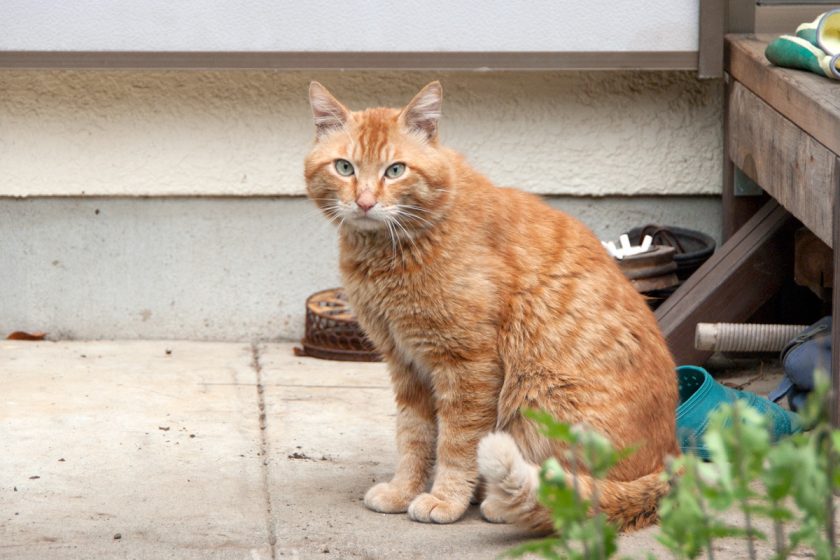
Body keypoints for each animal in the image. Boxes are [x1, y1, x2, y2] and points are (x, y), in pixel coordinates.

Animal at [306, 81, 680, 532]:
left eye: (395, 171)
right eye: (344, 167)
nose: (363, 202)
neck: (391, 251)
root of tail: (671, 462)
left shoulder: (468, 365)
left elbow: (457, 444)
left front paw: (445, 499)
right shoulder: (405, 363)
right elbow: (413, 437)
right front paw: (403, 490)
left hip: (538, 396)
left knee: (577, 492)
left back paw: (499, 503)